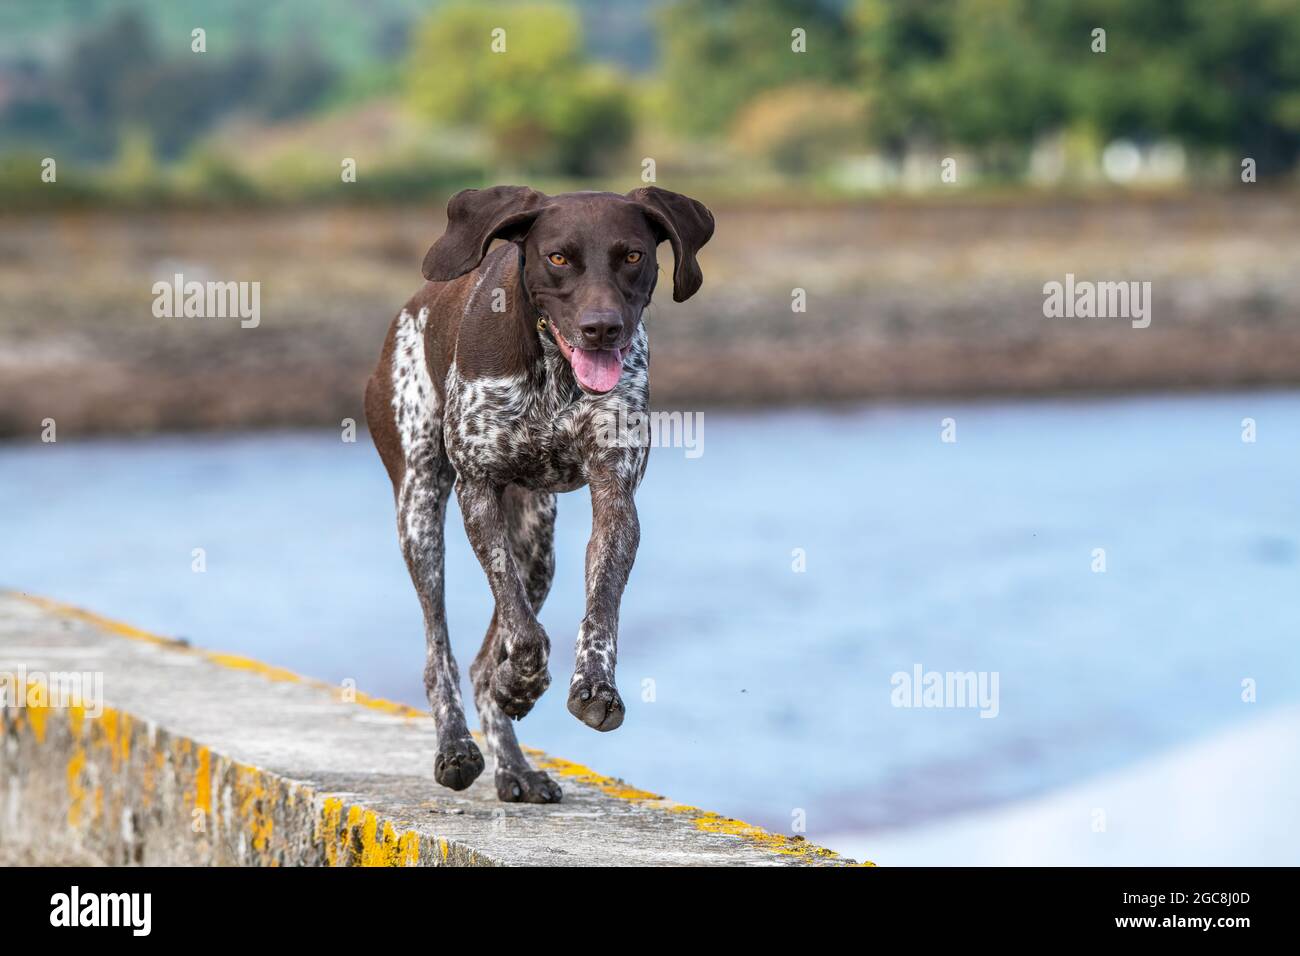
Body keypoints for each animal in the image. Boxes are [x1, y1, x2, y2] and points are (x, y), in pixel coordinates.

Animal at [364, 184, 712, 801]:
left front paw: (592, 686)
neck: (552, 372)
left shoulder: (614, 493)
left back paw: (514, 766)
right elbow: (525, 634)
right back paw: (457, 746)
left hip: (536, 546)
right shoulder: (478, 489)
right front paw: (522, 682)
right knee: (440, 651)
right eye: (557, 258)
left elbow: (600, 610)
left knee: (482, 663)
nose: (602, 328)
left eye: (632, 255)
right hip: (420, 510)